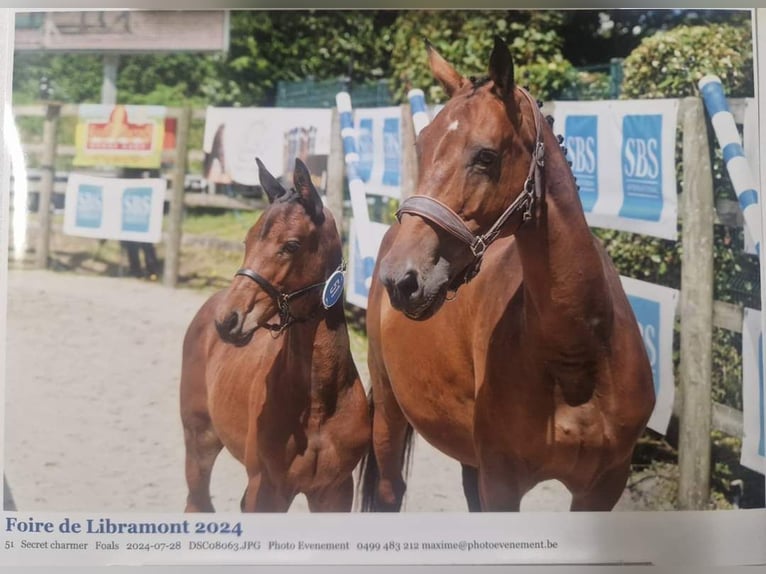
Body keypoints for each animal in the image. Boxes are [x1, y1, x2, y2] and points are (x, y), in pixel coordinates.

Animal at [181, 160, 372, 516]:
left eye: (291, 245)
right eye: (247, 241)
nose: (228, 320)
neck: (318, 405)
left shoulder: (335, 493)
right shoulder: (268, 489)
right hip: (199, 442)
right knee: (196, 503)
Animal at [364, 37, 656, 512]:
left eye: (486, 156)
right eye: (422, 148)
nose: (401, 279)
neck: (578, 356)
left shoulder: (603, 486)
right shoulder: (501, 480)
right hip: (389, 411)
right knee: (390, 490)